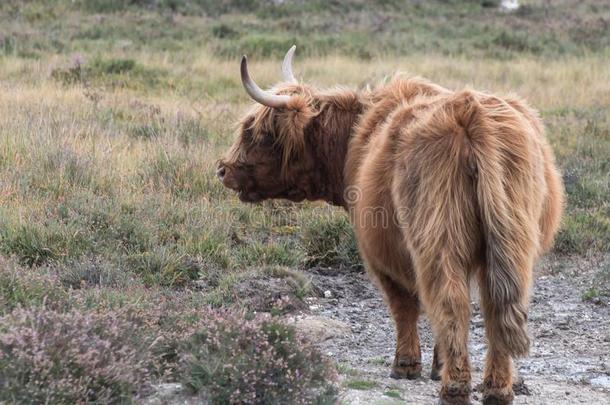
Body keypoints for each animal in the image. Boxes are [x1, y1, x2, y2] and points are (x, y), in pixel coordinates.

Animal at [216, 45, 564, 402]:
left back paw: (455, 387)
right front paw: (435, 366)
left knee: (449, 301)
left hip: (438, 236)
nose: (223, 169)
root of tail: (469, 111)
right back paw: (497, 388)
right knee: (497, 306)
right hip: (514, 242)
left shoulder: (380, 252)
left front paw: (406, 365)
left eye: (259, 133)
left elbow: (404, 304)